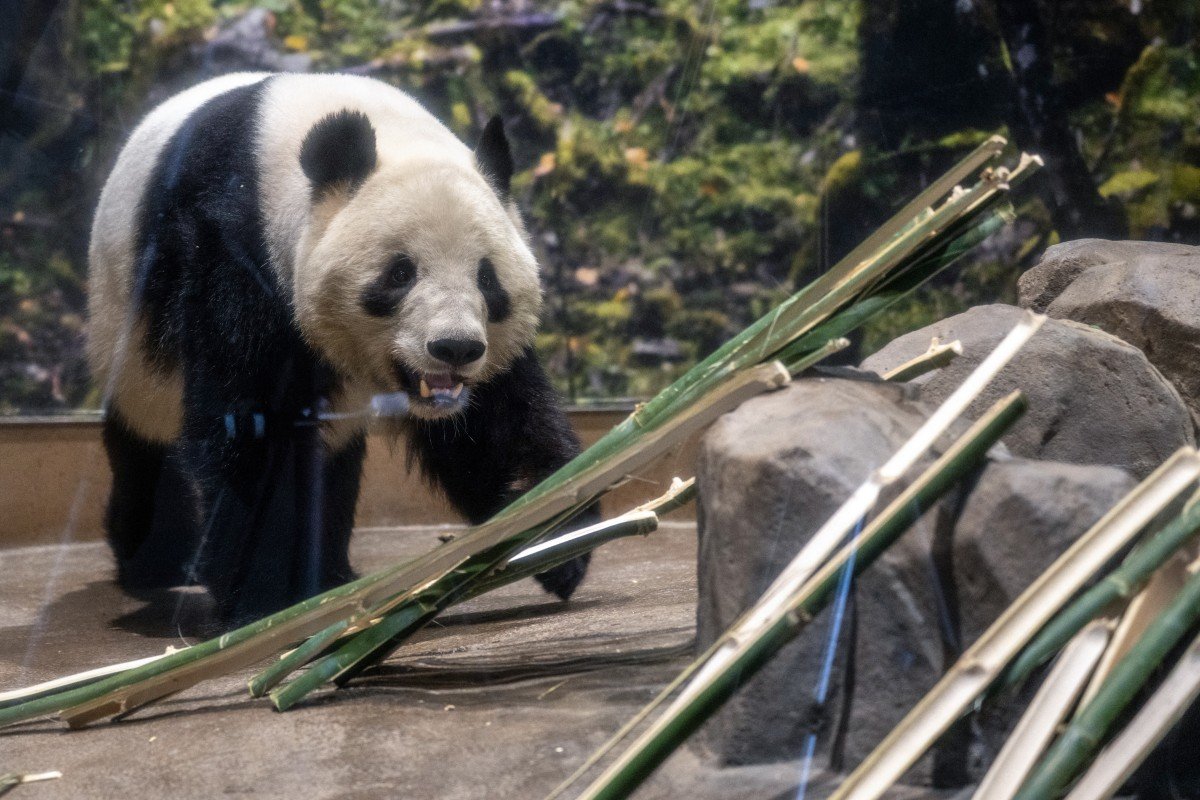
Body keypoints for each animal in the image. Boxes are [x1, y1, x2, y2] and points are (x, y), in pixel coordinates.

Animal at [87, 72, 593, 628]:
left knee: (333, 458)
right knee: (147, 438)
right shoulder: (230, 246)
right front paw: (264, 599)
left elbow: (498, 422)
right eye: (400, 273)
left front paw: (556, 536)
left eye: (486, 278)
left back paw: (329, 569)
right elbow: (249, 427)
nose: (454, 348)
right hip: (127, 329)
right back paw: (155, 560)